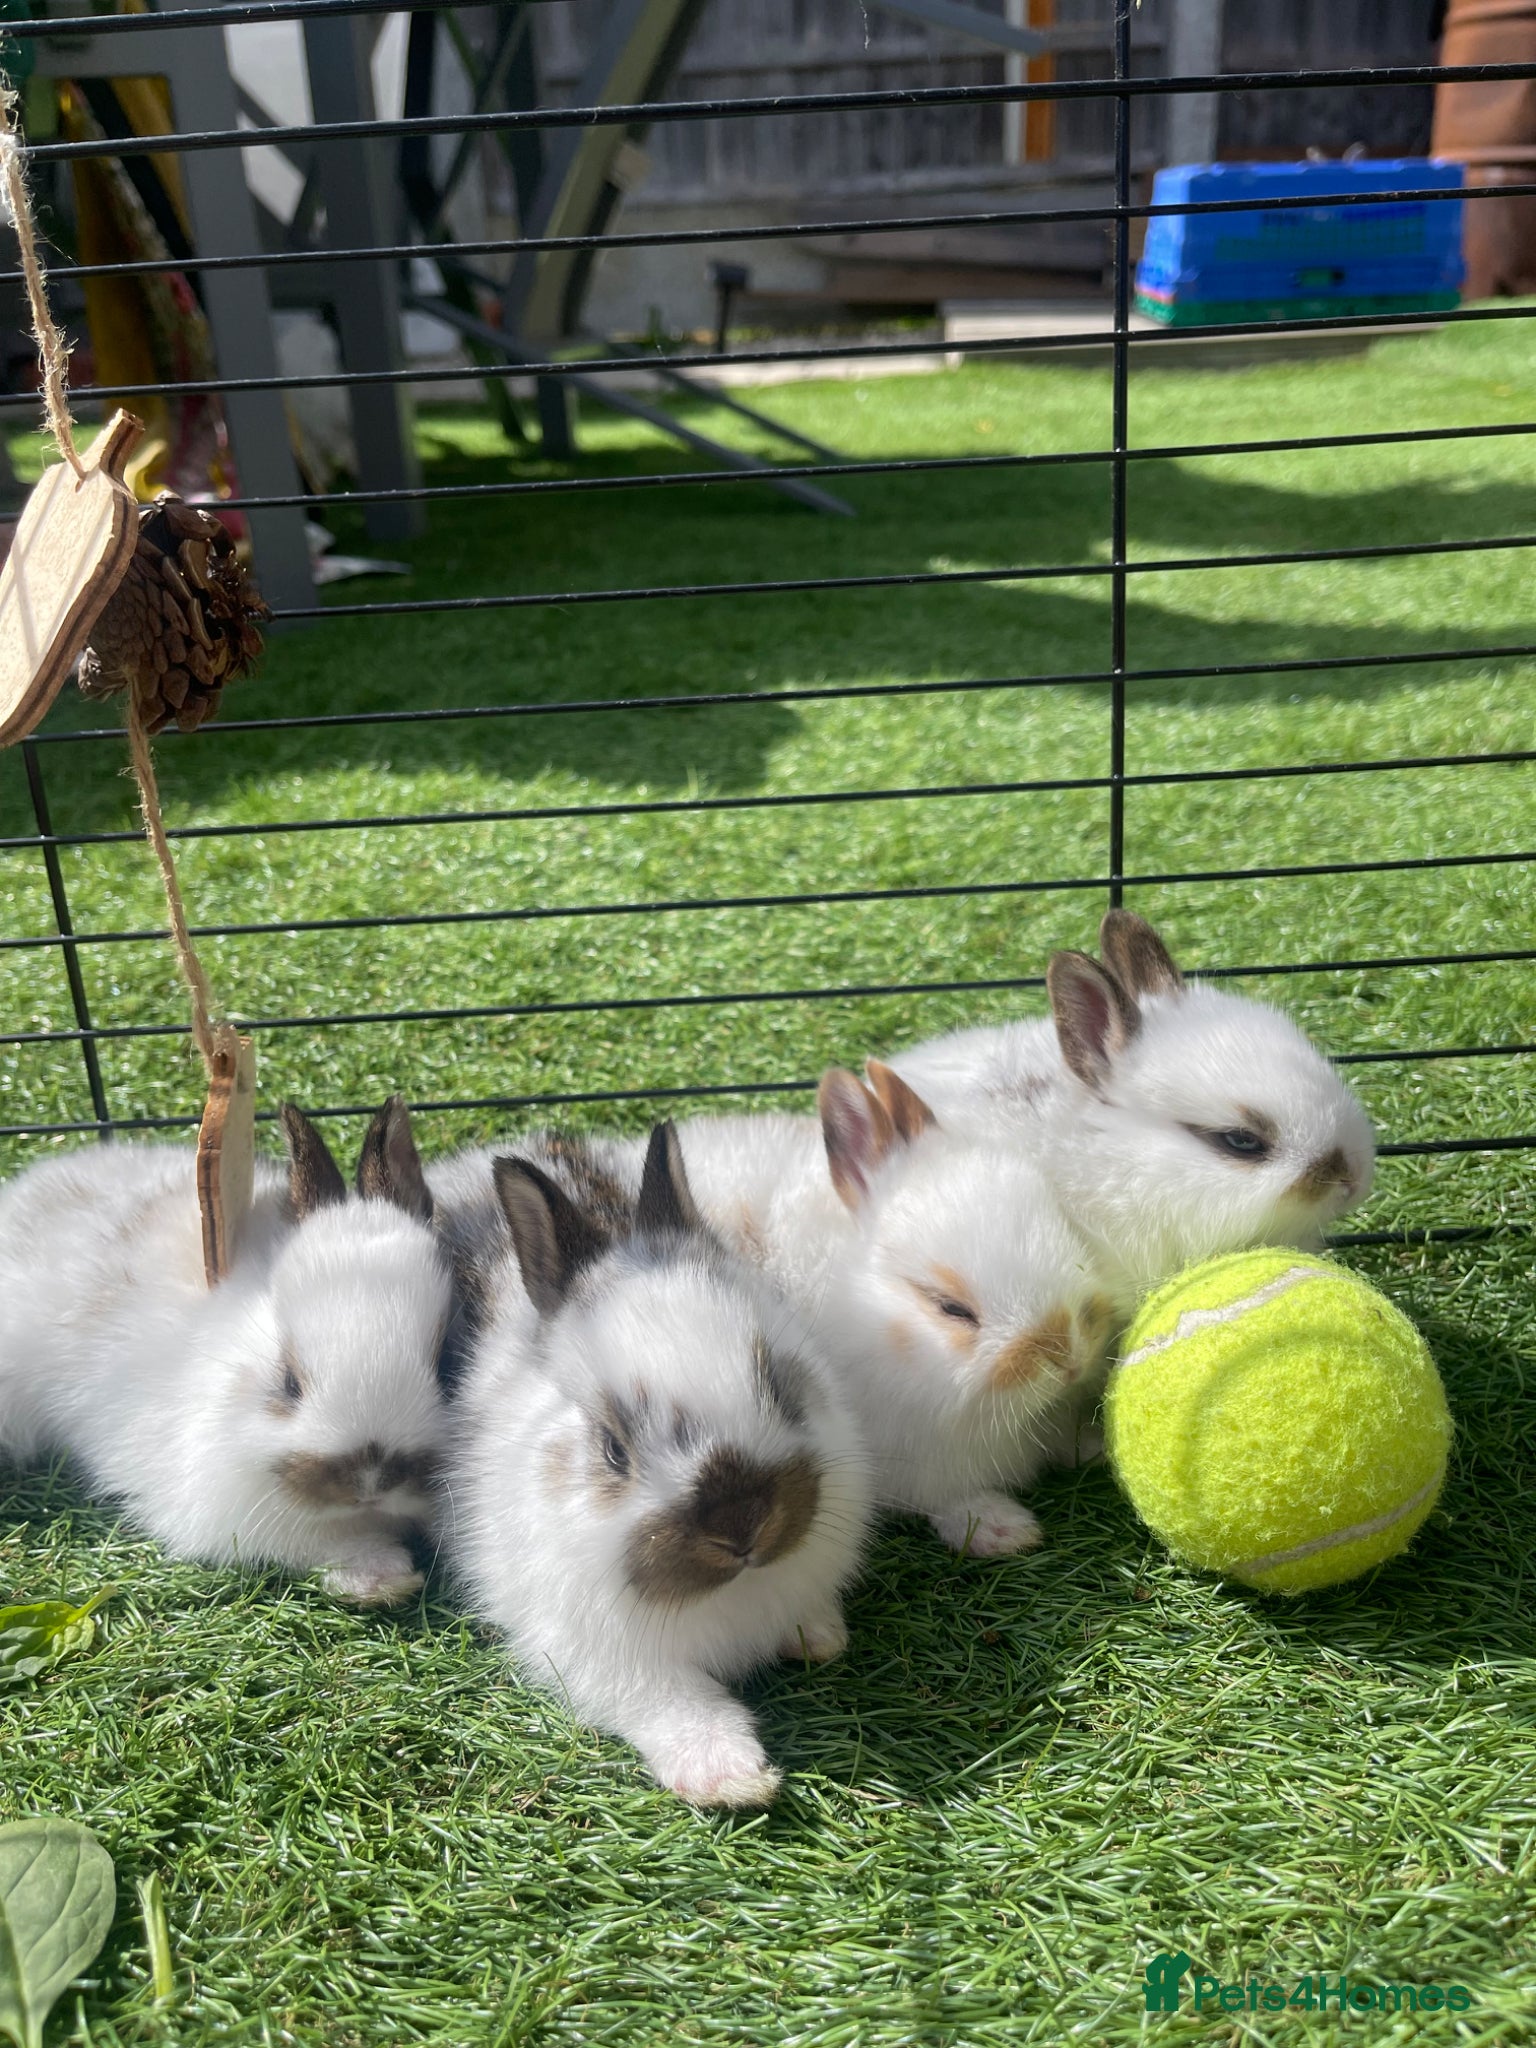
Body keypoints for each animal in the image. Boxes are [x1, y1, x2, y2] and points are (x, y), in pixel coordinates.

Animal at [437, 1122, 872, 1810]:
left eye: (779, 1387)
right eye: (614, 1450)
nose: (742, 1527)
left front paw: (820, 1638)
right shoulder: (603, 1655)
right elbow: (674, 1703)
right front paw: (731, 1777)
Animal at [605, 1068, 1113, 1560]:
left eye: (1060, 1218)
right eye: (950, 1308)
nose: (1068, 1355)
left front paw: (1092, 1444)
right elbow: (944, 1499)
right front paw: (1002, 1529)